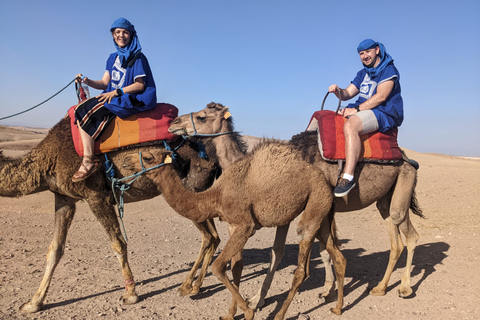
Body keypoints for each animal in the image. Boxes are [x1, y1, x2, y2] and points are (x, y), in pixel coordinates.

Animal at [0, 114, 219, 312]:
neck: (50, 158)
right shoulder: (64, 199)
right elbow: (54, 250)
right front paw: (33, 303)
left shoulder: (96, 196)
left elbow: (118, 243)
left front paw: (130, 294)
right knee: (214, 236)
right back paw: (195, 285)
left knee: (208, 236)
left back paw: (189, 286)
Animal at [122, 142, 346, 320]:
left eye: (148, 157)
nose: (124, 161)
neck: (216, 196)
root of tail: (327, 181)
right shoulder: (232, 225)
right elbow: (236, 266)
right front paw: (230, 314)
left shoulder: (245, 225)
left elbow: (218, 267)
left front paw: (248, 311)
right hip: (319, 214)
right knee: (336, 255)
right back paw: (337, 308)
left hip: (315, 203)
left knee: (302, 267)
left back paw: (280, 315)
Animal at [169, 101, 424, 308]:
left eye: (202, 116)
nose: (173, 123)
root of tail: (405, 157)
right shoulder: (290, 212)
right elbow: (284, 252)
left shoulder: (307, 208)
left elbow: (309, 250)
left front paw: (257, 300)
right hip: (385, 199)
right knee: (395, 237)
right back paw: (380, 287)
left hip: (404, 183)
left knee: (408, 232)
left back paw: (404, 288)